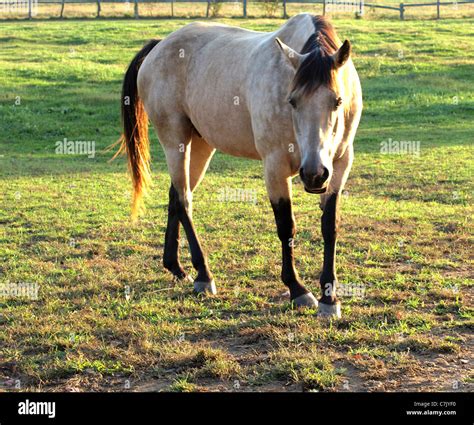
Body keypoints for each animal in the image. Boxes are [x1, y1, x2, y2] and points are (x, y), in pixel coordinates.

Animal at [116, 13, 362, 316]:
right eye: (292, 101)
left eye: (338, 101)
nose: (314, 174)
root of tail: (160, 45)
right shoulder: (275, 166)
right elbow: (286, 226)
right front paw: (298, 290)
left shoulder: (340, 164)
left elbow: (330, 226)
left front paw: (329, 298)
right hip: (175, 140)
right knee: (184, 200)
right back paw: (203, 275)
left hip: (201, 145)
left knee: (176, 195)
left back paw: (176, 267)